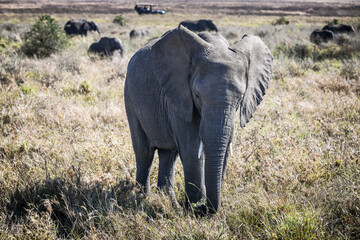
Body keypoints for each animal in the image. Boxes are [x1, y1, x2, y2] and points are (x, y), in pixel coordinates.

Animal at [124, 25, 272, 214]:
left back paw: (168, 203)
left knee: (169, 155)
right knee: (144, 152)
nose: (201, 208)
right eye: (197, 95)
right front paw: (194, 206)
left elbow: (223, 146)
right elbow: (192, 146)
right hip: (129, 95)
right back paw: (142, 199)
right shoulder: (179, 96)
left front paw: (194, 207)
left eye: (240, 98)